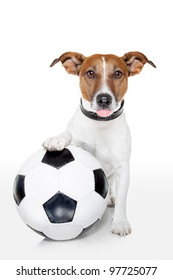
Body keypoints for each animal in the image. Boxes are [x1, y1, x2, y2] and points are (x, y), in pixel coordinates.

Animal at [42, 50, 156, 236]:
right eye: (90, 73)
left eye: (117, 73)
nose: (104, 99)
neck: (100, 124)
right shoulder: (77, 139)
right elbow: (69, 133)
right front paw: (57, 138)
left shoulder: (123, 168)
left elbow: (122, 197)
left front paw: (120, 221)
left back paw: (110, 198)